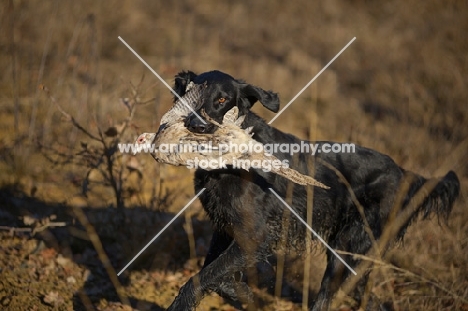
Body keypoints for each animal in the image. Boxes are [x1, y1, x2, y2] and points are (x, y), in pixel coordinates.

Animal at [165, 69, 460, 310]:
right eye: (189, 95)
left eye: (222, 100)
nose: (197, 127)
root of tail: (404, 174)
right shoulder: (225, 227)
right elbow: (215, 273)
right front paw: (243, 294)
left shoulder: (255, 235)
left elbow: (201, 278)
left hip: (347, 248)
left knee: (327, 298)